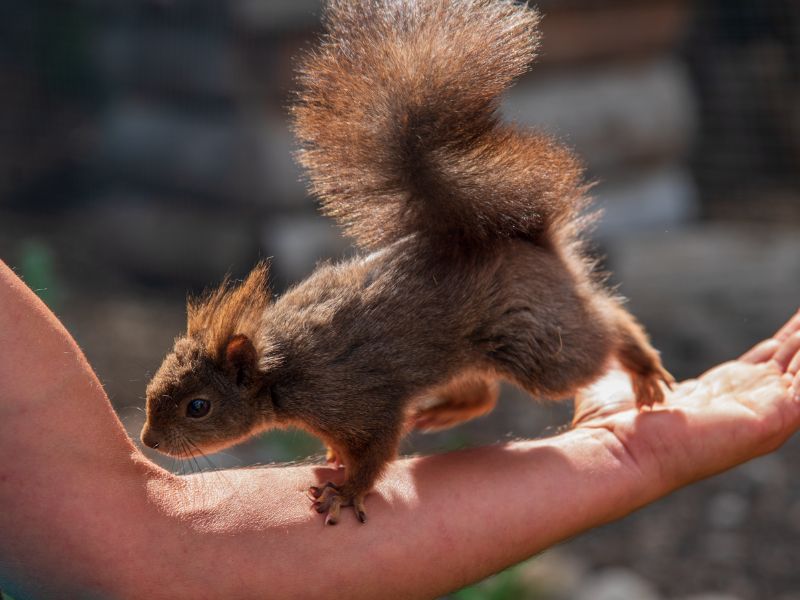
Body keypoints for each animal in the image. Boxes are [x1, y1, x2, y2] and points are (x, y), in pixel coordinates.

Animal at [141, 0, 672, 524]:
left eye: (198, 406)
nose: (149, 441)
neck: (279, 370)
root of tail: (533, 243)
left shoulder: (356, 397)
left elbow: (376, 450)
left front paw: (346, 491)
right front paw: (335, 457)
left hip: (539, 346)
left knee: (605, 329)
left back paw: (642, 365)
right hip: (466, 356)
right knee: (483, 393)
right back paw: (439, 411)